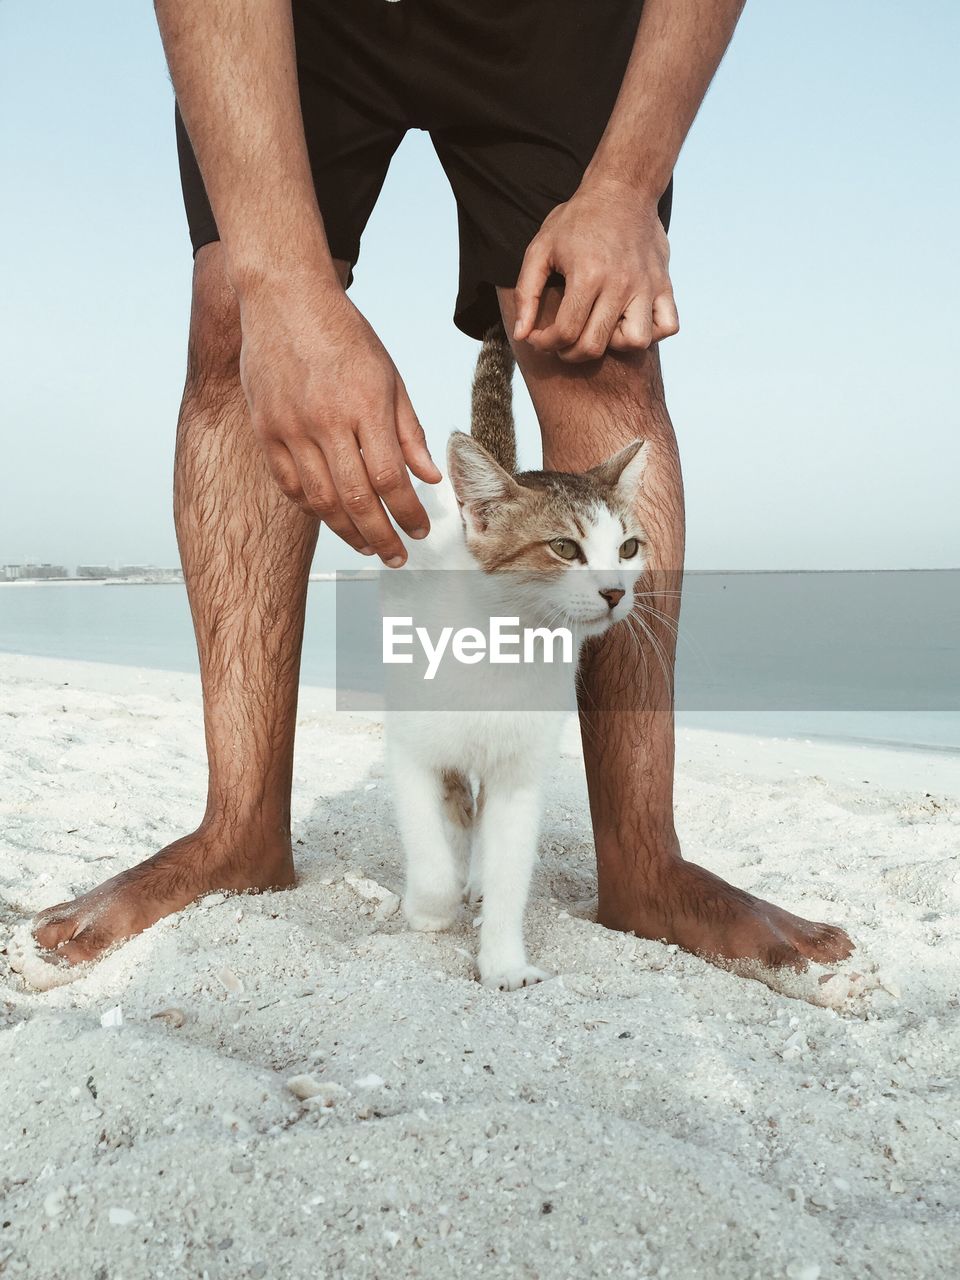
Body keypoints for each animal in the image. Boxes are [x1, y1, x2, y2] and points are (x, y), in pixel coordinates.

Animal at [386, 325, 655, 983]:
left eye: (628, 547)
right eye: (563, 547)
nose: (616, 591)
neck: (505, 648)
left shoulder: (521, 773)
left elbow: (510, 868)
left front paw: (504, 961)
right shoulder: (412, 751)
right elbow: (430, 846)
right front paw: (430, 908)